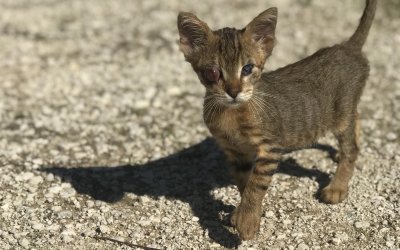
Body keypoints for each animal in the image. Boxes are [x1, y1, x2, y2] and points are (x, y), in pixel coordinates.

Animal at [177, 0, 376, 240]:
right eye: (213, 73)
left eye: (247, 69)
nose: (233, 92)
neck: (232, 114)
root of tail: (348, 46)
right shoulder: (235, 152)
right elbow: (243, 183)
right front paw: (242, 213)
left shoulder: (270, 148)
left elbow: (255, 185)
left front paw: (247, 221)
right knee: (357, 117)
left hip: (341, 116)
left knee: (351, 149)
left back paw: (337, 187)